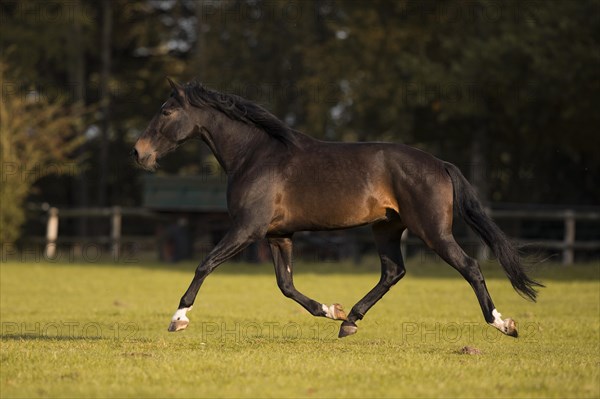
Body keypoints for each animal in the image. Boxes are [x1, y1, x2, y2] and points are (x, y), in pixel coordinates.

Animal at [132, 77, 544, 338]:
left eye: (166, 111)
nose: (138, 152)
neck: (255, 155)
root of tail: (440, 164)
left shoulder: (246, 229)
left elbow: (205, 264)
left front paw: (178, 319)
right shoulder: (279, 235)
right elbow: (286, 286)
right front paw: (333, 311)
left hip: (433, 232)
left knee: (470, 266)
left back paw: (504, 324)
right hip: (386, 228)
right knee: (393, 271)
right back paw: (351, 321)